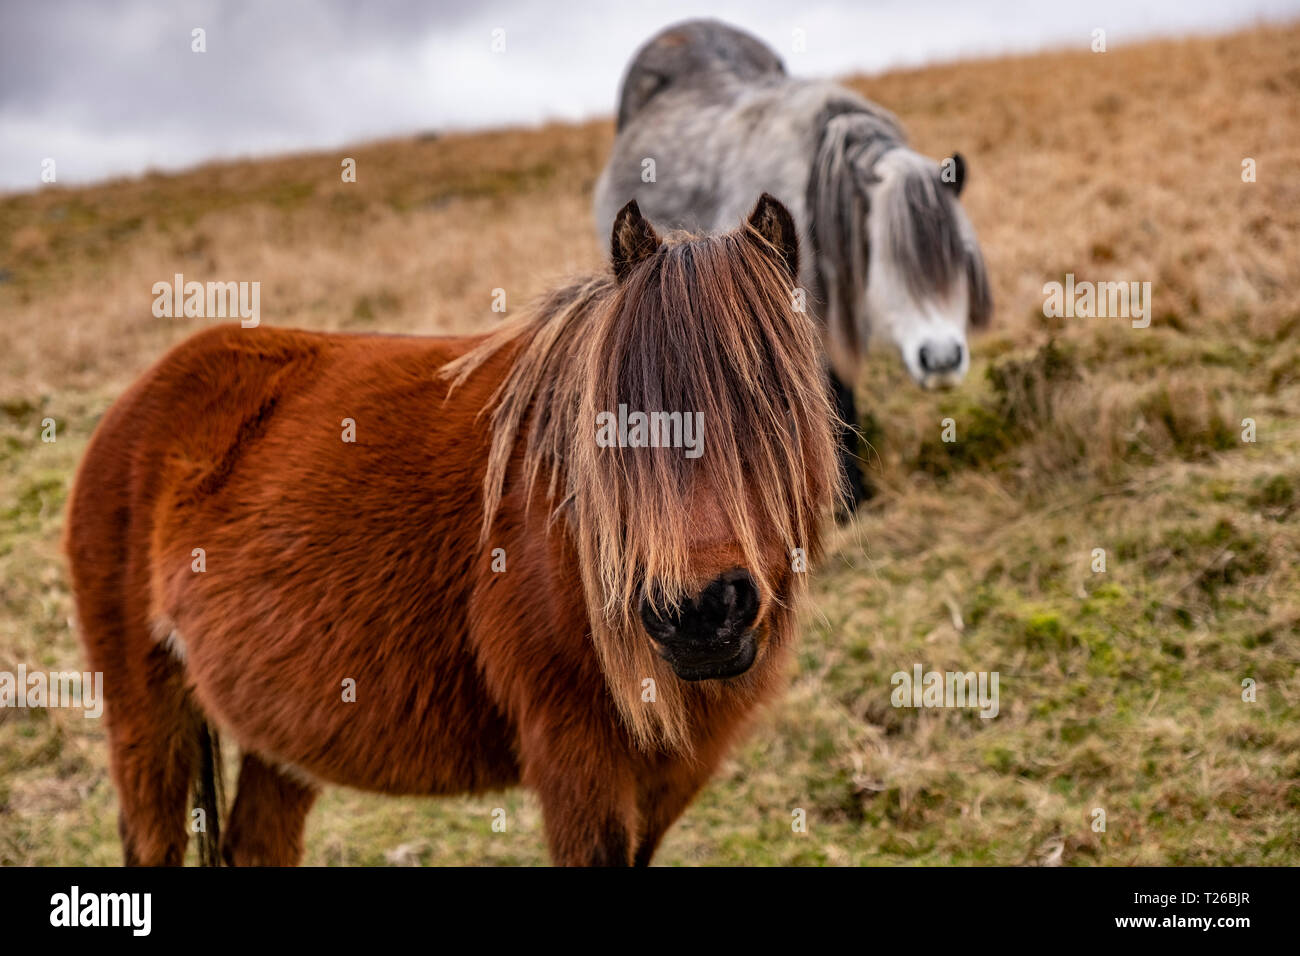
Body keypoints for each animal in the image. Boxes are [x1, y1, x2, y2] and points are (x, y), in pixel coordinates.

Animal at [62, 194, 840, 867]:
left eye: (774, 403)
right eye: (620, 422)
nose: (698, 613)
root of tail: (141, 397)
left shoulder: (669, 778)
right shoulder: (577, 763)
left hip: (279, 734)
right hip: (145, 715)